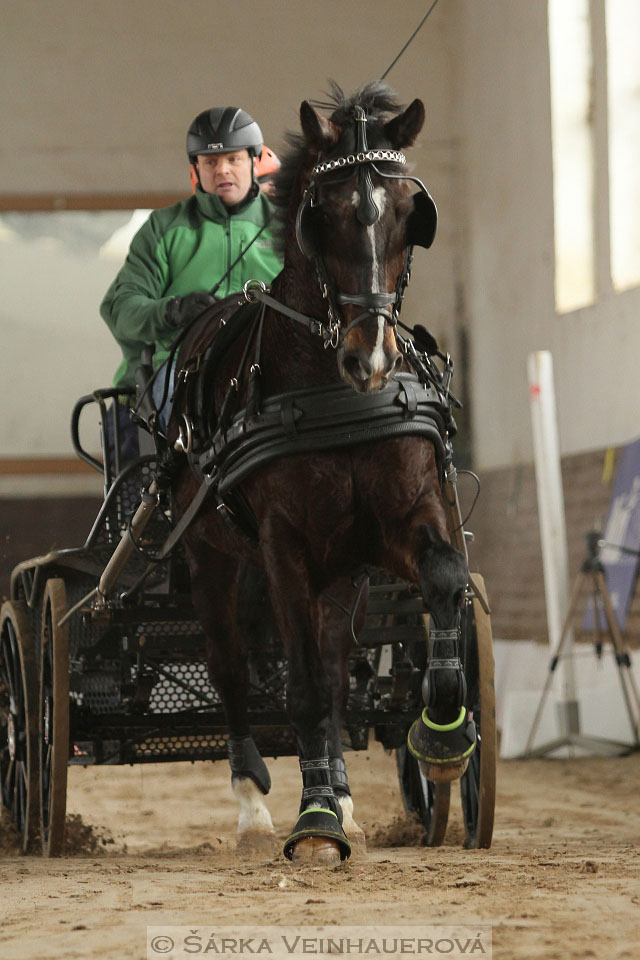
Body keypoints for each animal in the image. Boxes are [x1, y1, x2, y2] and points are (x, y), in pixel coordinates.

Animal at [168, 82, 472, 864]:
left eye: (409, 213)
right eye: (323, 215)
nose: (371, 357)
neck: (333, 392)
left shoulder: (400, 521)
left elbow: (444, 581)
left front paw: (444, 735)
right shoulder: (283, 547)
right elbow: (300, 686)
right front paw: (312, 824)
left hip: (345, 570)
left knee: (339, 673)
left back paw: (342, 791)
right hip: (211, 556)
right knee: (231, 666)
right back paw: (254, 806)